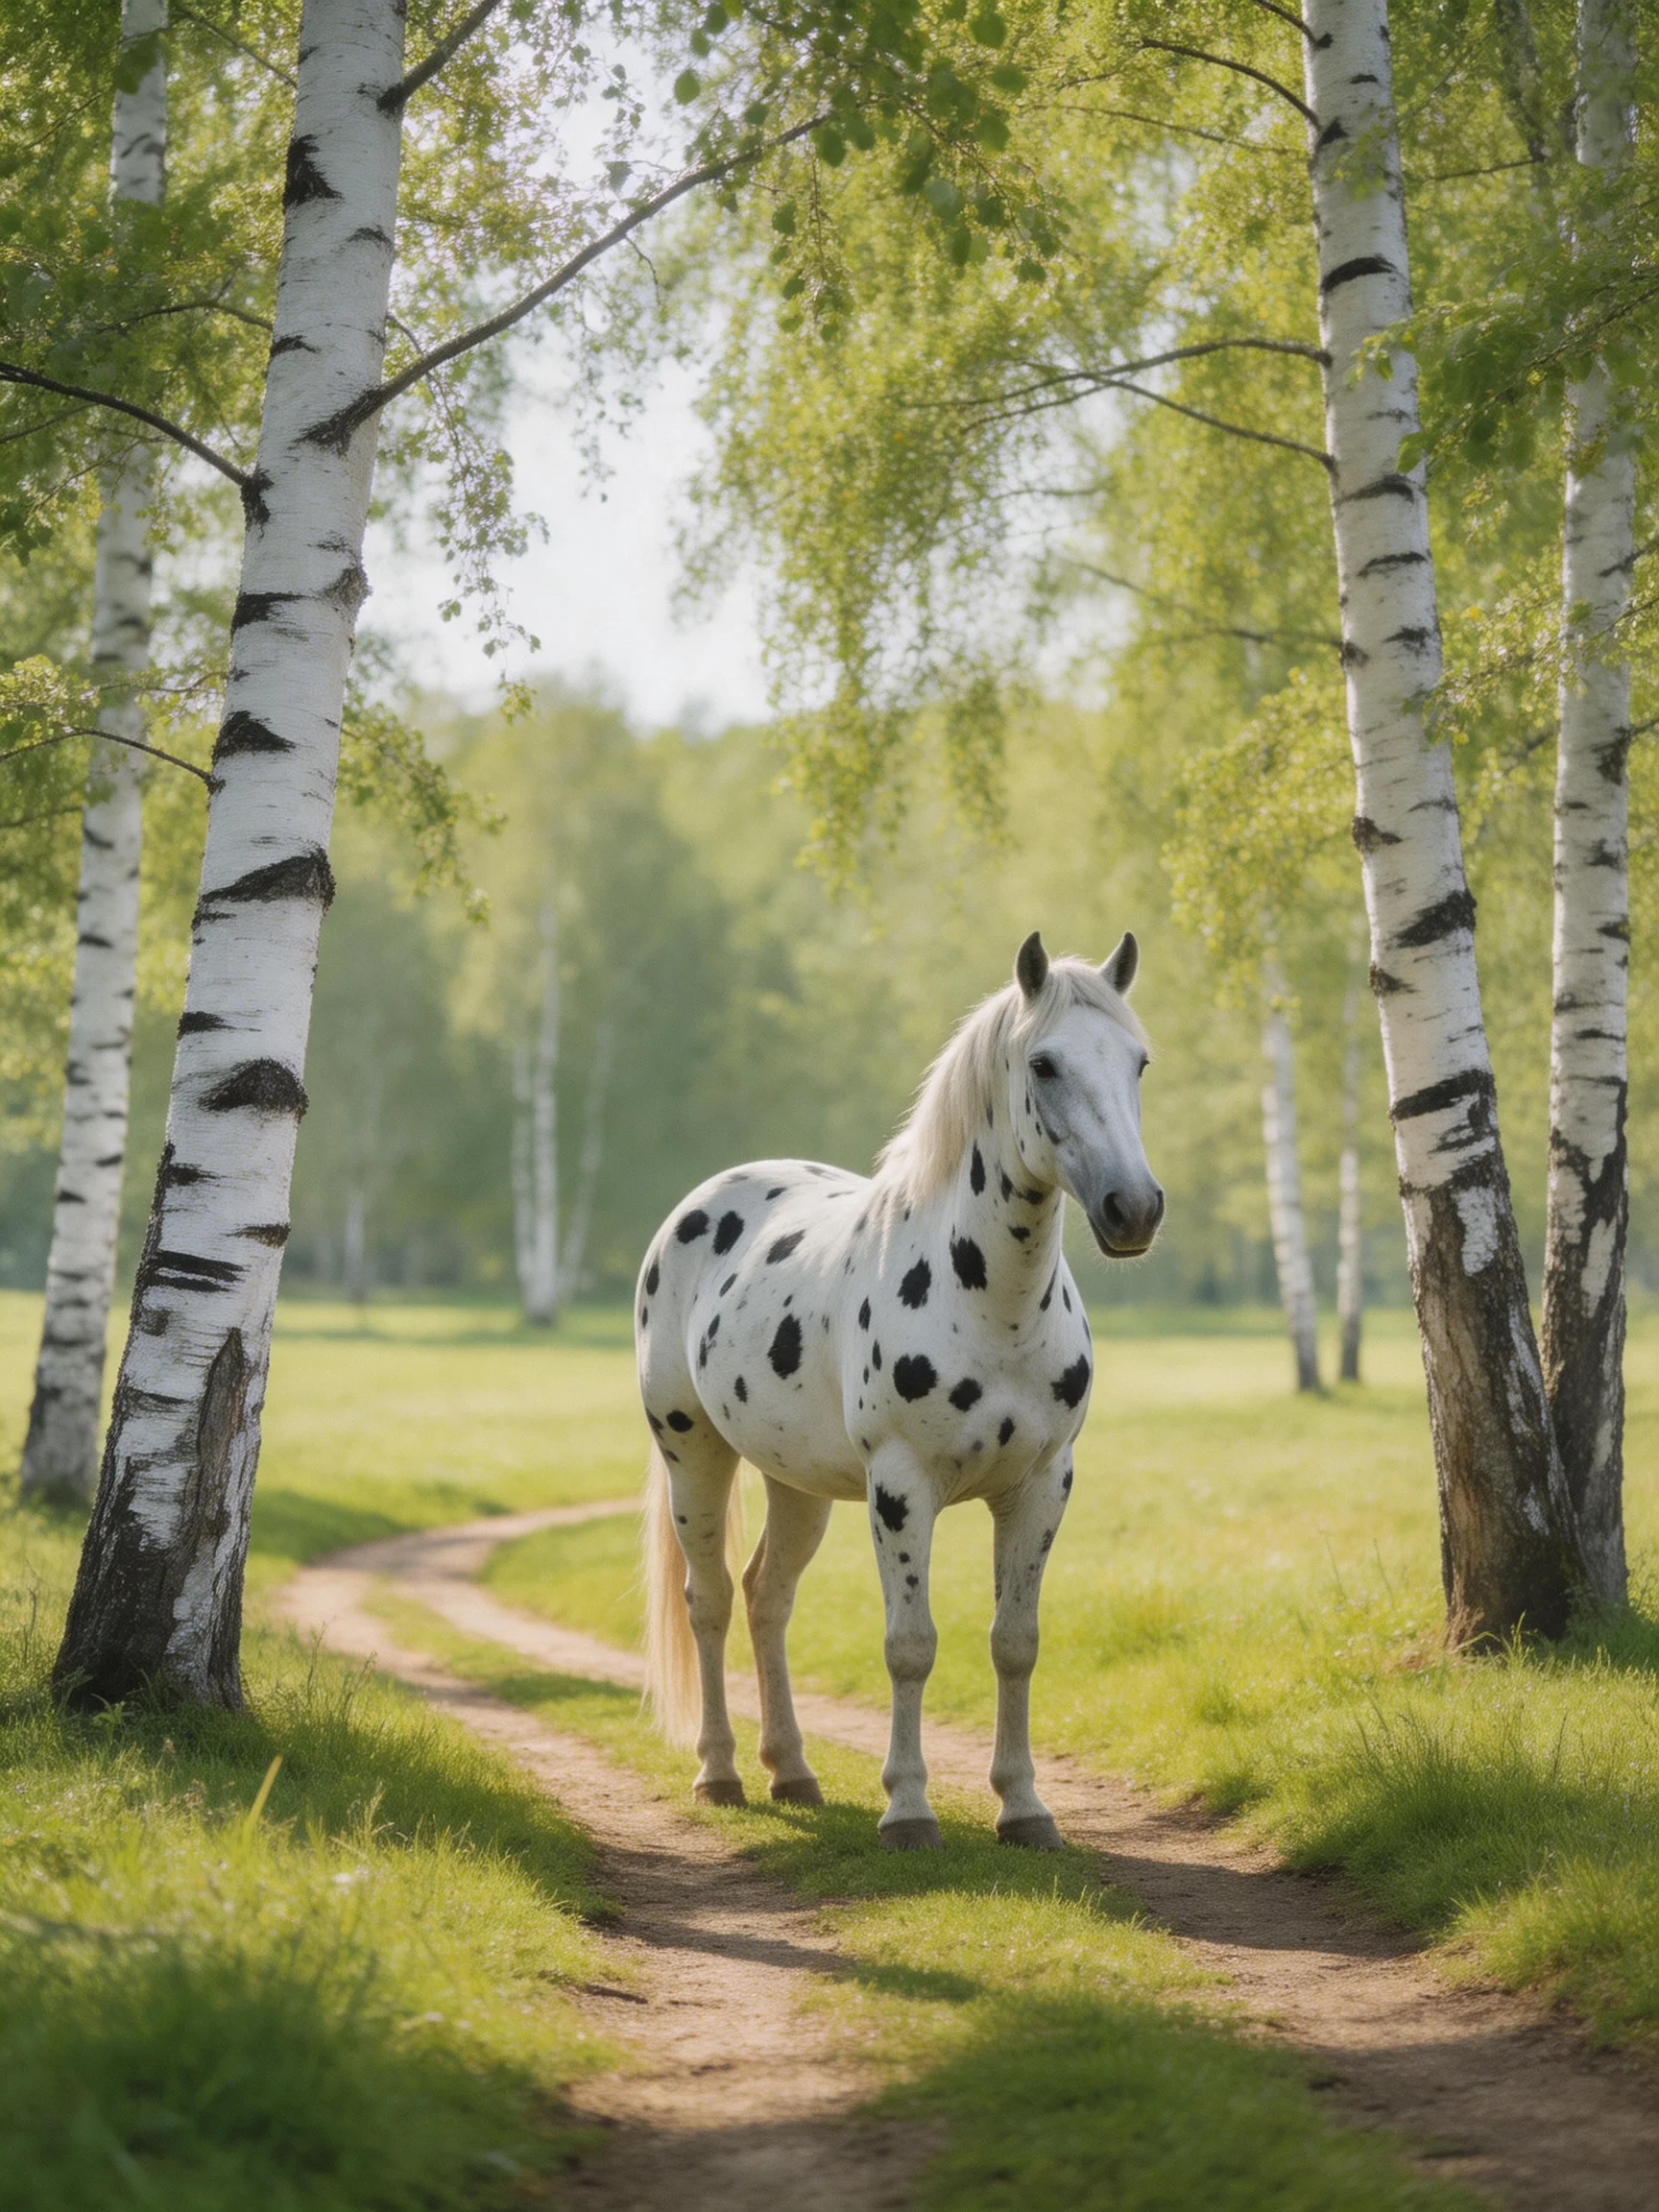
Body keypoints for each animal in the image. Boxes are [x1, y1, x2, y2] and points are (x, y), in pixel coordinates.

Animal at [636, 929, 1163, 1849]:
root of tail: (695, 1208)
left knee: (767, 1598)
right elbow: (910, 1645)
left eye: (1137, 1061)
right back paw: (722, 1773)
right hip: (692, 1455)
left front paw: (1024, 1808)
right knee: (711, 1602)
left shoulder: (1042, 1484)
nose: (1133, 1208)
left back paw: (793, 1772)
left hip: (796, 1482)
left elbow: (1015, 1642)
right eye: (1045, 1063)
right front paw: (909, 1809)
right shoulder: (901, 1489)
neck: (992, 1306)